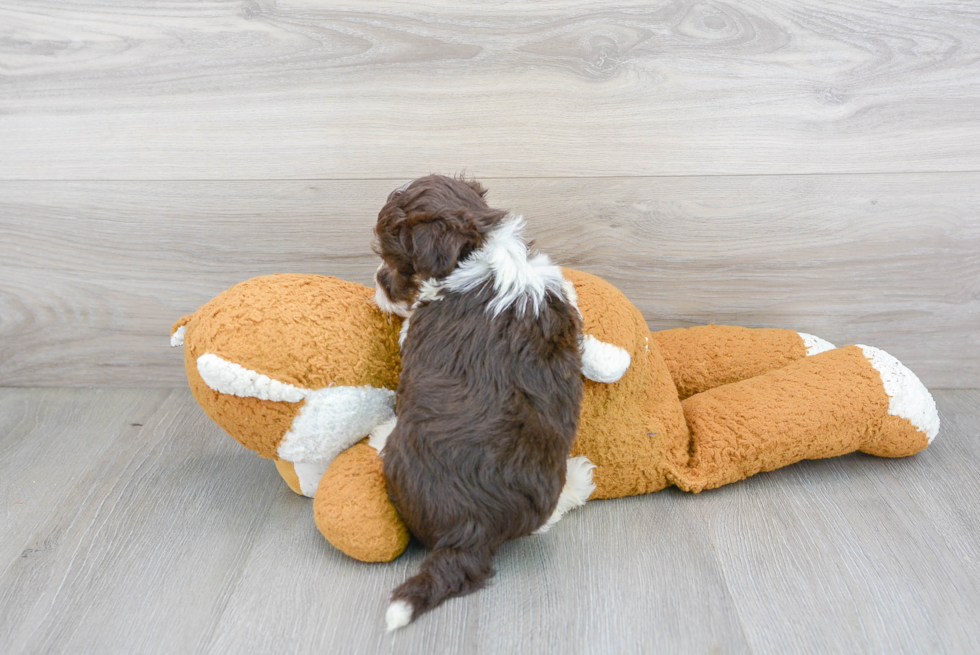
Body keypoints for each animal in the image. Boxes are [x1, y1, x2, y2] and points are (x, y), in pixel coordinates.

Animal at [374, 174, 588, 632]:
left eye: (394, 261)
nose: (378, 282)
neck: (482, 251)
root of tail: (473, 528)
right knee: (543, 521)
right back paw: (579, 480)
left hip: (399, 459)